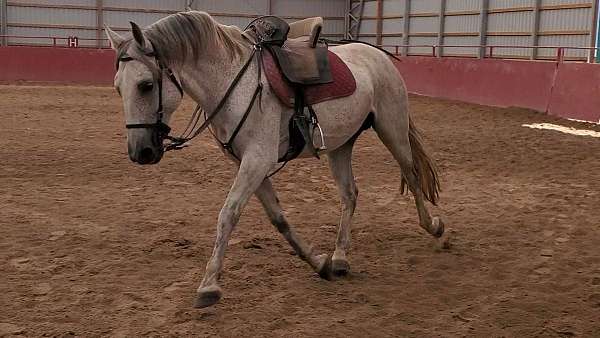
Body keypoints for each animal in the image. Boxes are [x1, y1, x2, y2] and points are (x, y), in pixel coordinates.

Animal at [105, 11, 448, 308]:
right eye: (118, 87)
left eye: (146, 85)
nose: (140, 153)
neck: (234, 83)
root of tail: (378, 57)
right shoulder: (248, 164)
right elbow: (278, 218)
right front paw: (319, 263)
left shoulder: (256, 160)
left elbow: (227, 215)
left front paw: (209, 285)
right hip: (341, 145)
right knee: (350, 194)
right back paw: (339, 258)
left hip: (392, 131)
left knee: (412, 176)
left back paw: (434, 227)